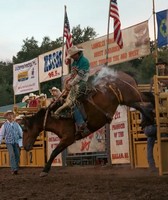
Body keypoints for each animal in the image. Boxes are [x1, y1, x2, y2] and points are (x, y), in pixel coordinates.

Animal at [21, 68, 154, 177]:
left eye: (25, 129)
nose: (25, 147)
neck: (56, 116)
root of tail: (125, 75)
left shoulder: (68, 138)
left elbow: (54, 152)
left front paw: (44, 170)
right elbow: (55, 152)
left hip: (133, 95)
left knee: (149, 97)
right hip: (128, 100)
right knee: (142, 105)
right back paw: (147, 120)